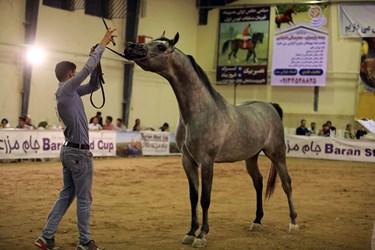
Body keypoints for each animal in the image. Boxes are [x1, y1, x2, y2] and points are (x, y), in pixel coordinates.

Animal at [123, 32, 300, 247]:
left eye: (161, 47)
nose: (131, 47)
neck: (198, 112)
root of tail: (271, 107)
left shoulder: (207, 162)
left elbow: (205, 198)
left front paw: (202, 235)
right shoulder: (187, 161)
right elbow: (193, 196)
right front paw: (190, 232)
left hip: (277, 154)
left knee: (286, 183)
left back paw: (293, 223)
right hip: (251, 157)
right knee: (258, 182)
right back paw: (257, 221)